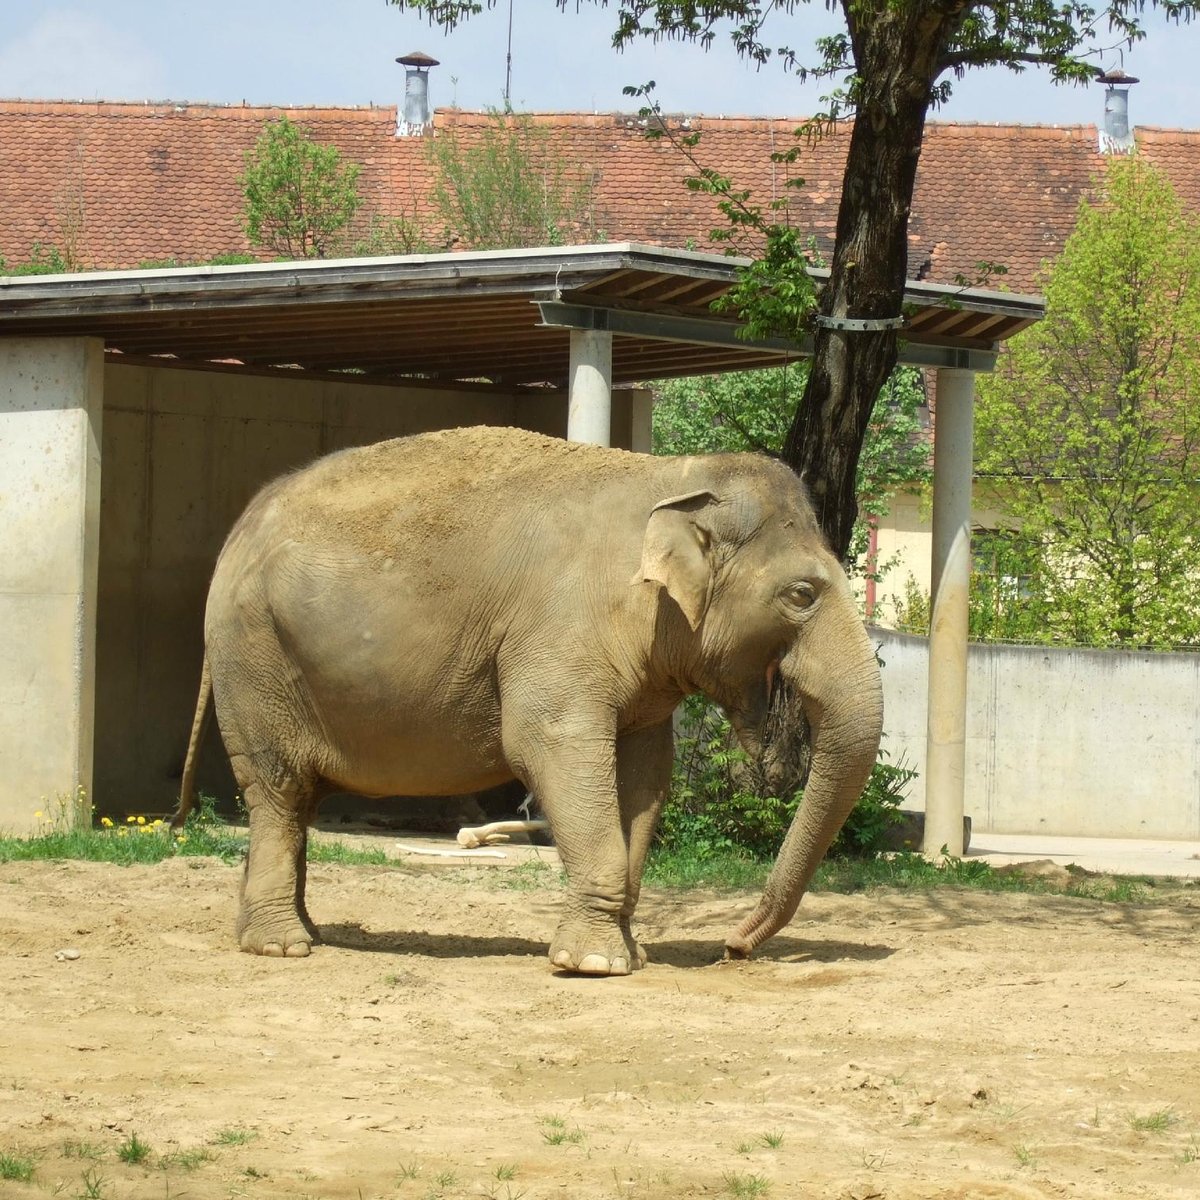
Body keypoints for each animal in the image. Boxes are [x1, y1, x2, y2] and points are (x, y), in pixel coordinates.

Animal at [174, 424, 888, 974]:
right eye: (801, 593)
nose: (733, 949)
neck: (670, 478)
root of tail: (238, 530)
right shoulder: (560, 631)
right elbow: (552, 745)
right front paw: (595, 965)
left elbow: (644, 774)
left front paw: (629, 955)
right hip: (254, 656)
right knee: (279, 790)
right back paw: (282, 947)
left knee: (295, 804)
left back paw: (302, 934)